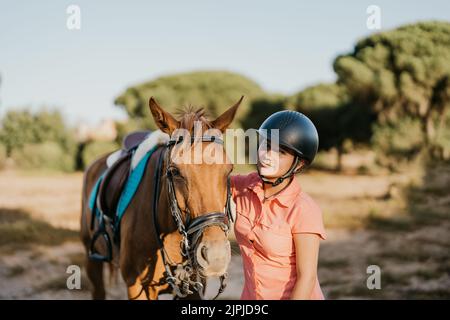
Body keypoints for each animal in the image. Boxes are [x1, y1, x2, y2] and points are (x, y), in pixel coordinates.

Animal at [80, 96, 243, 298]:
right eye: (174, 171)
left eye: (229, 170)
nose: (216, 256)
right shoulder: (137, 287)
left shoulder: (195, 288)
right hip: (92, 260)